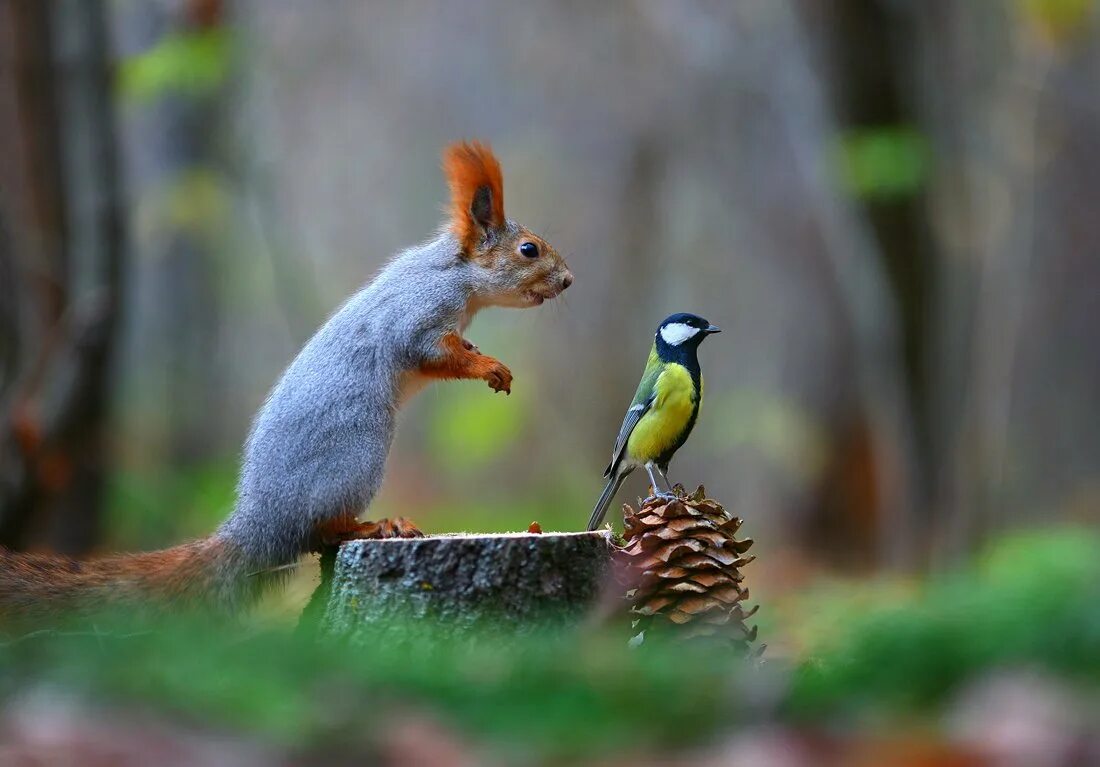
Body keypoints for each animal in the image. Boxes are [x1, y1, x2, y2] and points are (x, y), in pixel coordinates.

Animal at [2, 141, 576, 620]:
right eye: (529, 250)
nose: (569, 281)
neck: (458, 274)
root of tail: (257, 526)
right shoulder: (418, 315)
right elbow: (430, 352)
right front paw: (490, 367)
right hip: (358, 452)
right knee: (319, 532)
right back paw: (374, 525)